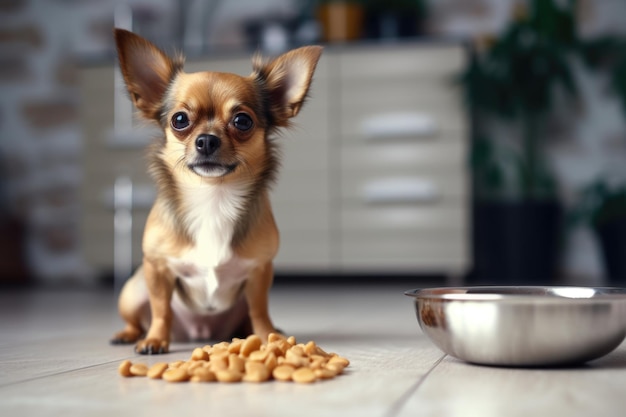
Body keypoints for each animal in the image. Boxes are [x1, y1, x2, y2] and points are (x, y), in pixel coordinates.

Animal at [109, 29, 320, 352]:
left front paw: (267, 336)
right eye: (179, 120)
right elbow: (161, 309)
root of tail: (200, 332)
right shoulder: (156, 268)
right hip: (134, 290)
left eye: (242, 121)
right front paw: (155, 339)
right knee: (139, 318)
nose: (207, 140)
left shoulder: (259, 272)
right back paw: (129, 334)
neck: (213, 197)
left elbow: (260, 310)